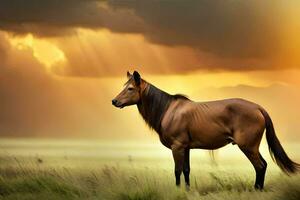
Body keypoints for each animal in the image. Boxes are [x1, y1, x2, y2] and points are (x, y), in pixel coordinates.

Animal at [111, 71, 298, 190]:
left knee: (260, 166)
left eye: (130, 88)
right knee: (263, 165)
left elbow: (177, 171)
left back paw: (257, 189)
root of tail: (259, 108)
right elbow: (186, 170)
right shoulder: (185, 148)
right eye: (123, 86)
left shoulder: (177, 147)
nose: (114, 101)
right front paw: (186, 191)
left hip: (248, 146)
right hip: (251, 147)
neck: (168, 110)